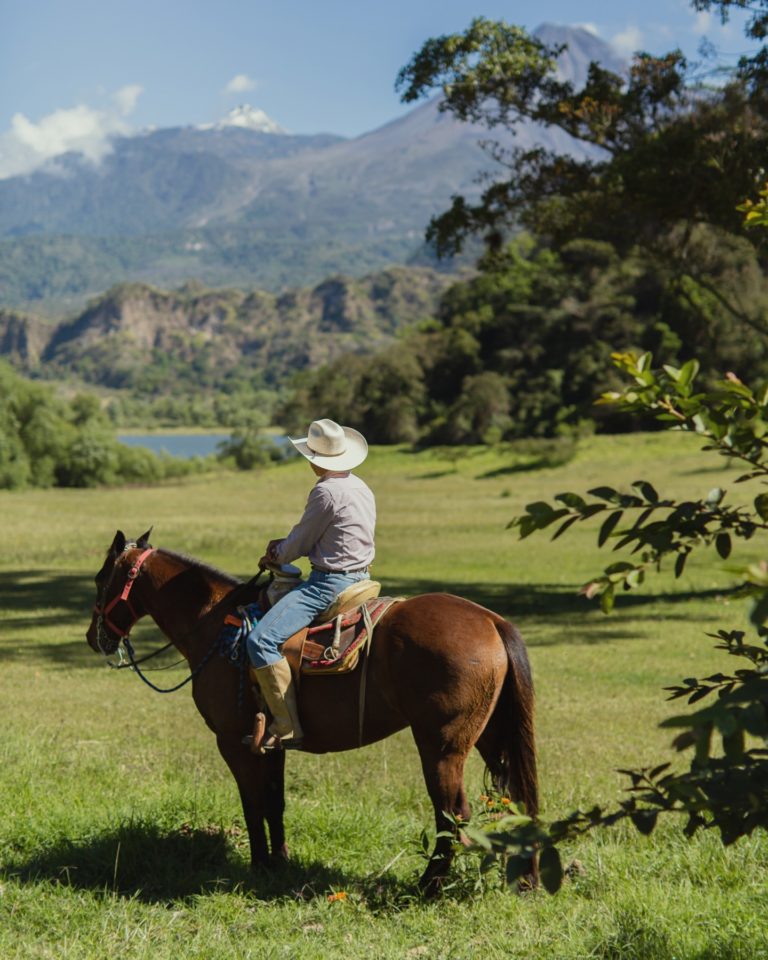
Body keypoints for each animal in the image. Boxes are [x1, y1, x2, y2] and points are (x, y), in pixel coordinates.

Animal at [87, 528, 536, 896]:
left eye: (99, 579)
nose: (94, 638)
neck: (214, 624)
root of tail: (491, 620)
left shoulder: (233, 743)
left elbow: (252, 804)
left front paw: (258, 865)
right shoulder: (270, 743)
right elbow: (274, 802)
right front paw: (279, 862)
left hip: (441, 747)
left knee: (453, 814)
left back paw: (428, 885)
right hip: (489, 737)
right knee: (516, 801)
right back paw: (524, 880)